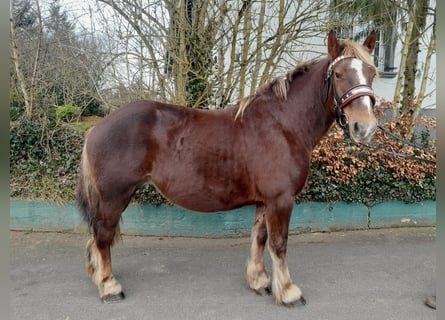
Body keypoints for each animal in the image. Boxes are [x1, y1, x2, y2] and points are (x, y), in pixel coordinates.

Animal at [78, 30, 376, 304]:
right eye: (338, 74)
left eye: (372, 73)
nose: (365, 127)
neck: (284, 125)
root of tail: (96, 128)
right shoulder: (281, 199)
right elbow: (279, 244)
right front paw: (289, 292)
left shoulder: (265, 201)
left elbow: (260, 238)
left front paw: (259, 281)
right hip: (115, 196)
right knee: (103, 235)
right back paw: (109, 286)